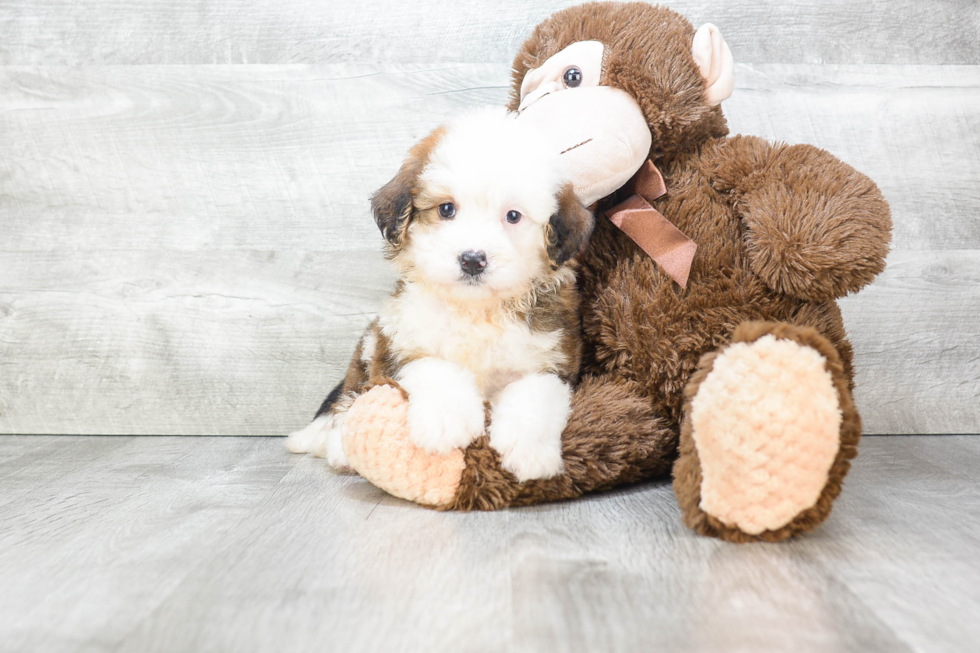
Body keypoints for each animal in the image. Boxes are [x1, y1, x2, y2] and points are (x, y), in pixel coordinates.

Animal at [288, 107, 592, 482]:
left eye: (513, 216)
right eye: (446, 209)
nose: (473, 259)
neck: (476, 311)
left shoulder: (553, 359)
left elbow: (536, 394)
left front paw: (528, 450)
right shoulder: (400, 343)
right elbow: (433, 366)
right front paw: (447, 422)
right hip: (368, 349)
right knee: (349, 402)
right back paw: (340, 449)